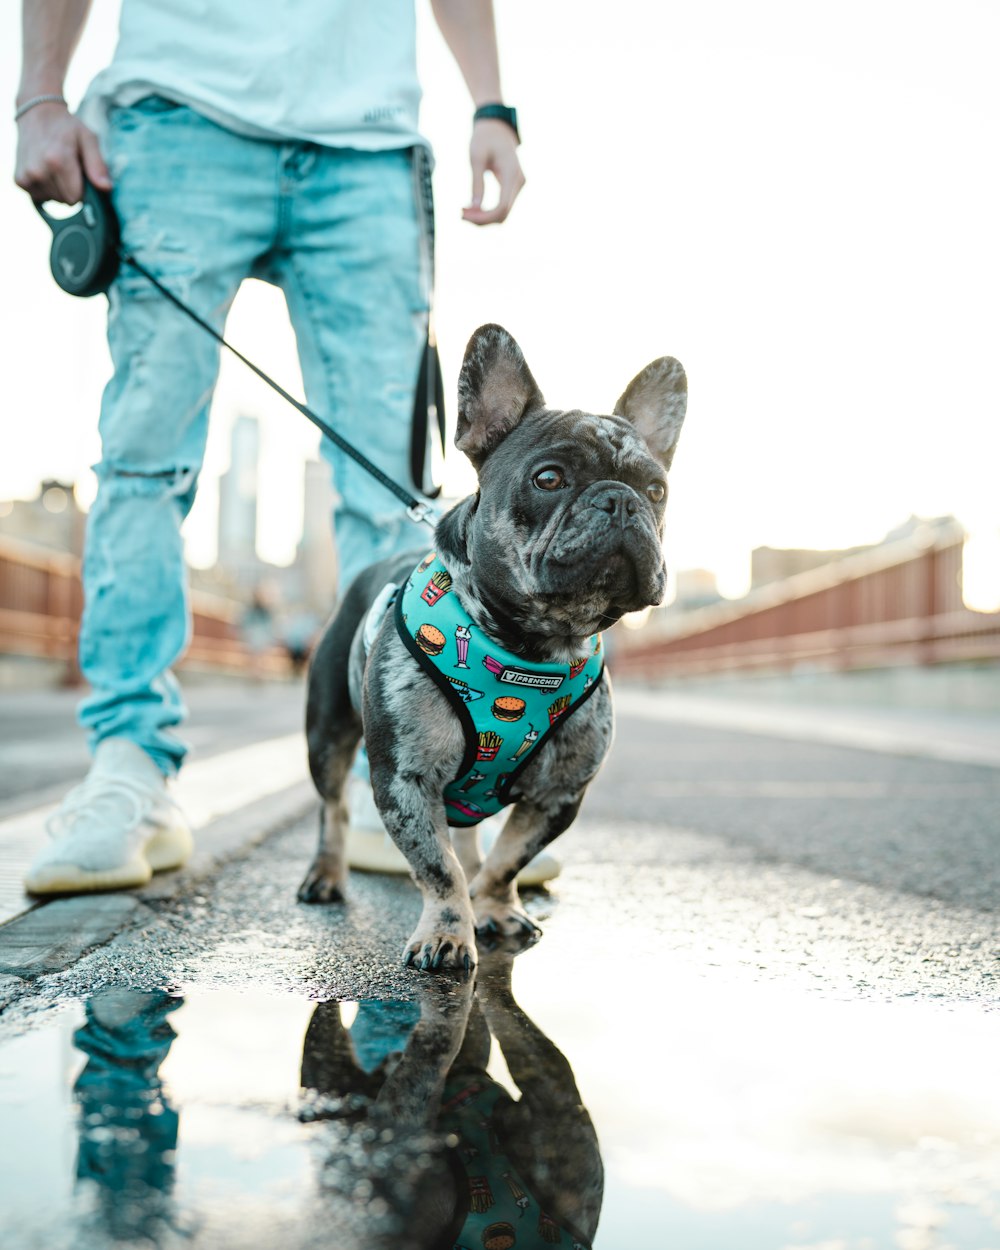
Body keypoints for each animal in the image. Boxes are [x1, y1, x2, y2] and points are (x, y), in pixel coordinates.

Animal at [298, 320, 690, 965]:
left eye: (657, 491)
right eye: (548, 478)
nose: (621, 499)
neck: (533, 646)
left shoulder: (558, 795)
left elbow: (507, 859)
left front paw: (495, 908)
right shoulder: (405, 780)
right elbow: (437, 867)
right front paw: (447, 931)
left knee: (469, 838)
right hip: (326, 734)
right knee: (332, 809)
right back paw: (325, 877)